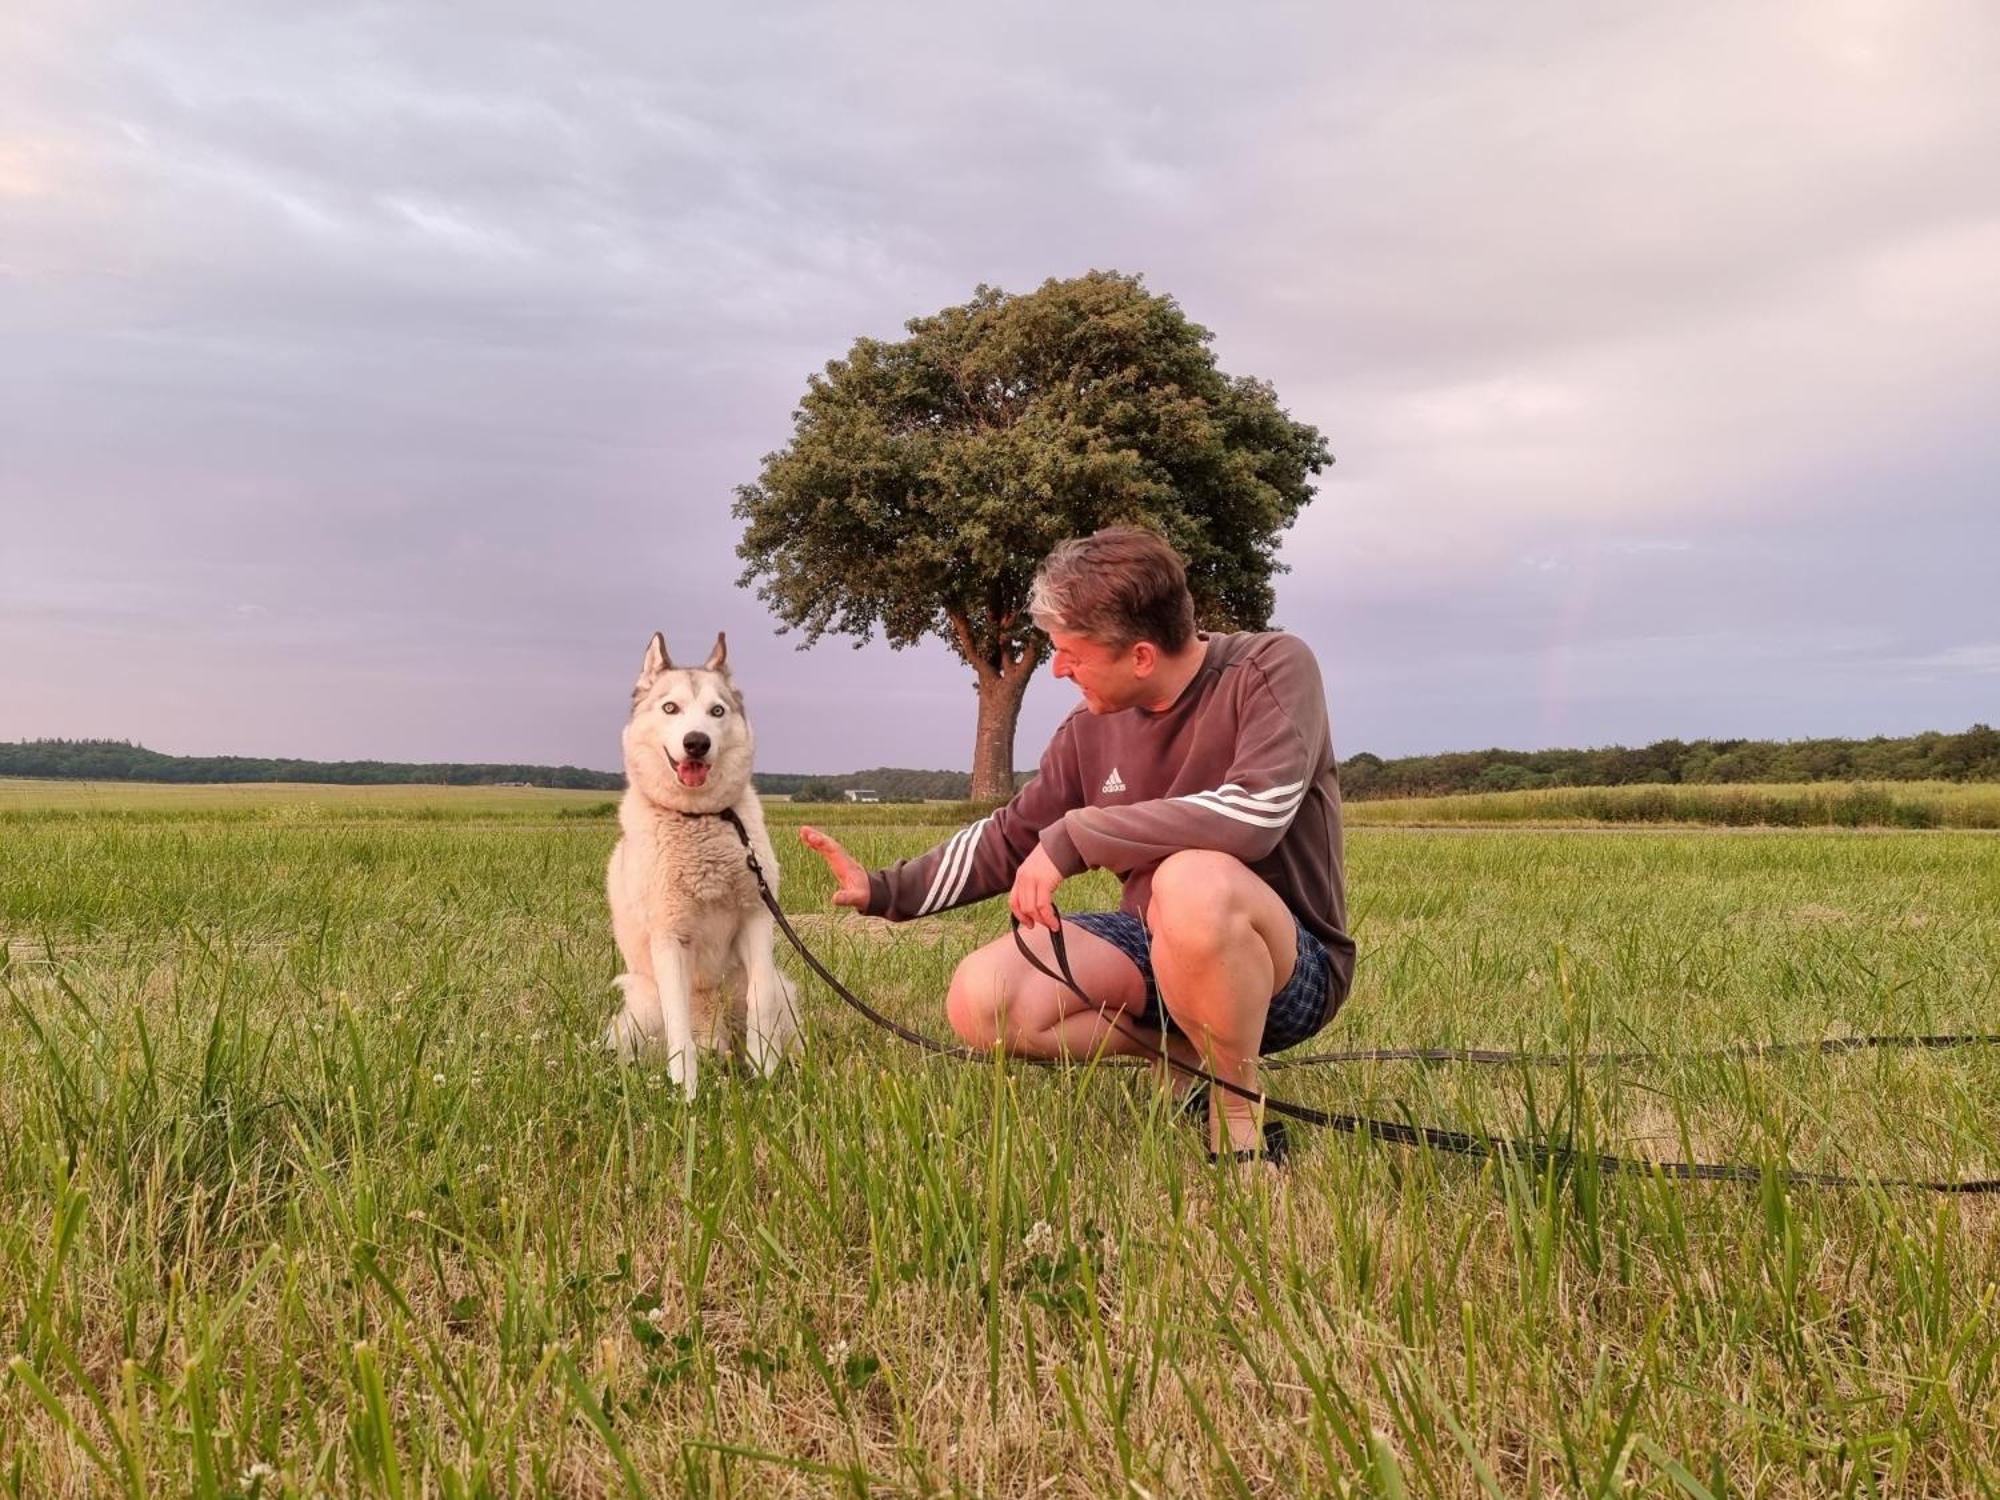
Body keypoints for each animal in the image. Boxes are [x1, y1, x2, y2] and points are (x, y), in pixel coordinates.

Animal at [604, 628, 800, 1096]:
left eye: (717, 711)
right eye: (670, 707)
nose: (697, 742)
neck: (700, 819)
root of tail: (717, 1038)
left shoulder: (756, 919)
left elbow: (760, 1000)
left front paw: (765, 1073)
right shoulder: (670, 938)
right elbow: (678, 1024)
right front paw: (686, 1093)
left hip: (781, 990)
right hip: (640, 1005)